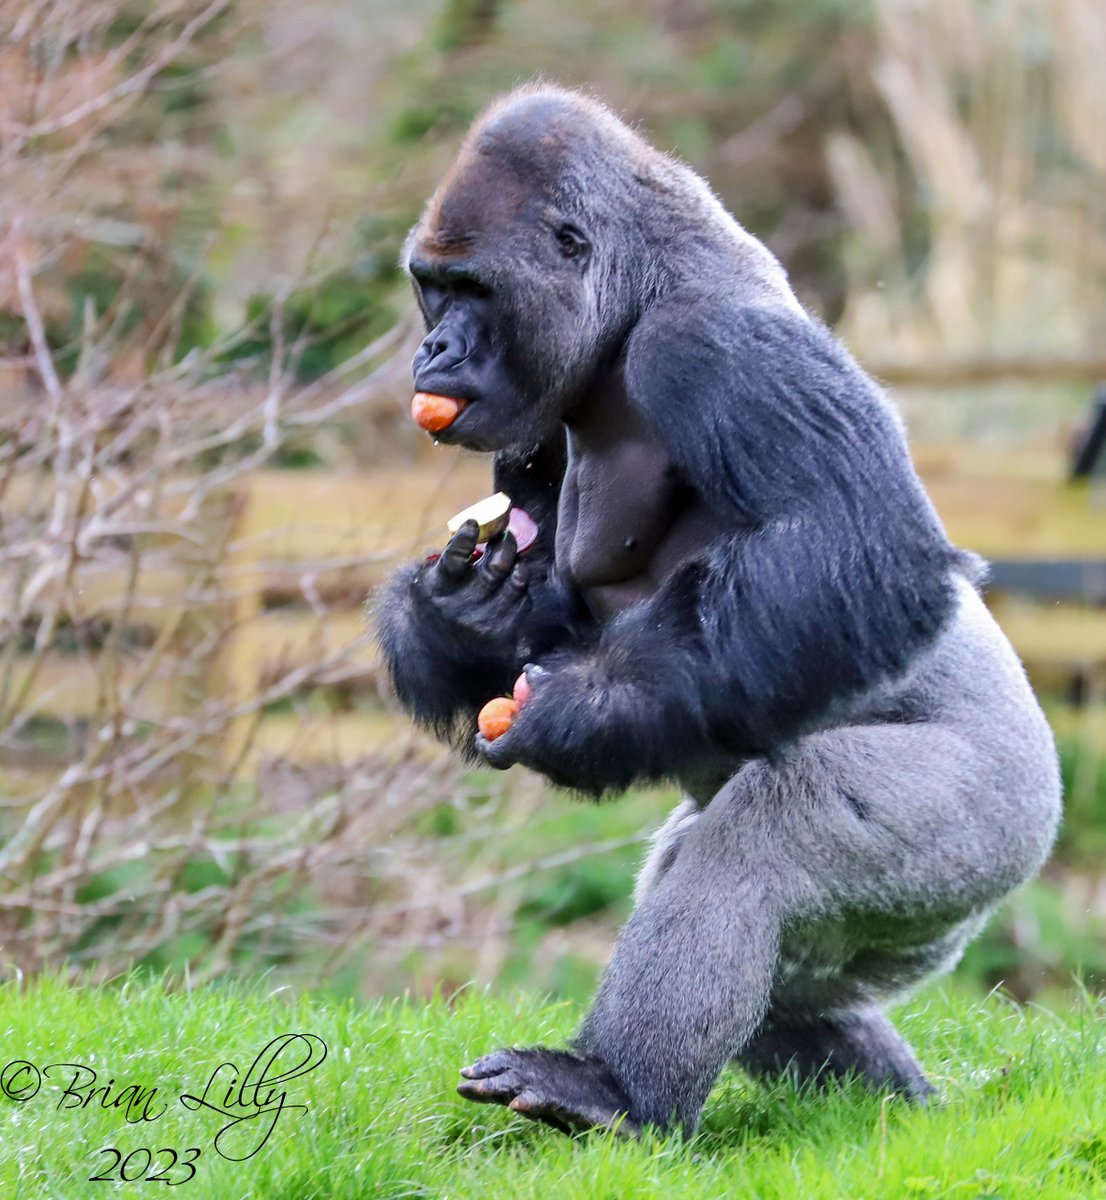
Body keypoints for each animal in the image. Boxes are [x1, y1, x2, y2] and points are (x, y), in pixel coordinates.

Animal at [373, 85, 1061, 1137]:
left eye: (475, 292)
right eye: (430, 286)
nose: (433, 347)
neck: (635, 298)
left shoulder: (712, 342)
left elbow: (863, 546)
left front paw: (586, 712)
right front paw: (461, 619)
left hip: (990, 824)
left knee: (758, 846)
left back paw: (614, 1092)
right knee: (793, 987)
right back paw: (892, 1112)